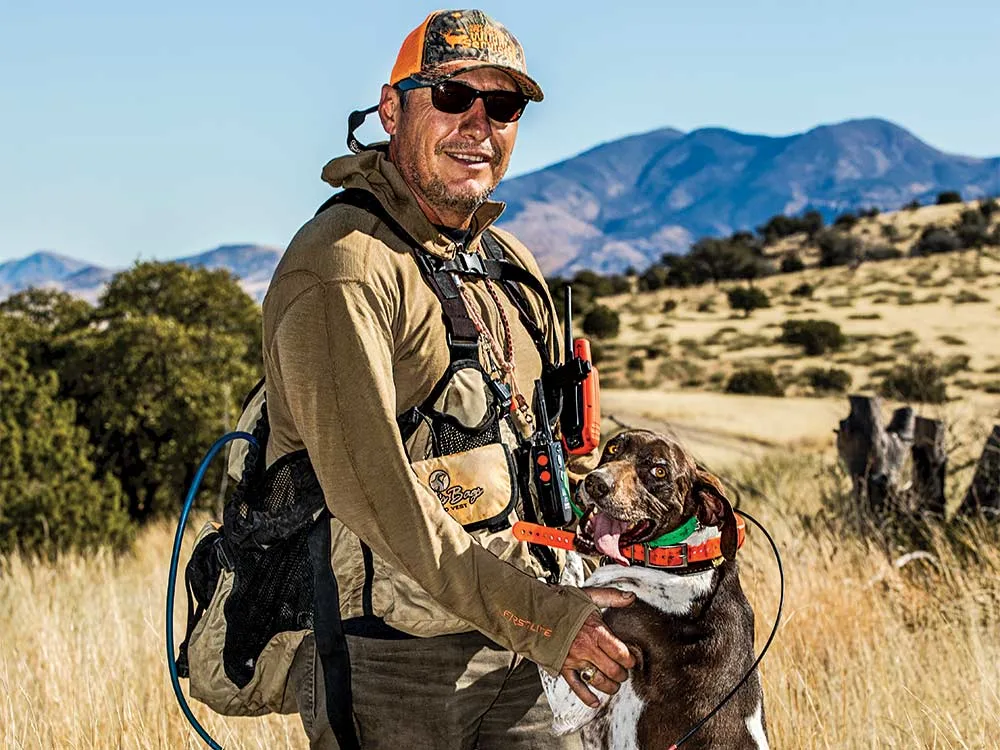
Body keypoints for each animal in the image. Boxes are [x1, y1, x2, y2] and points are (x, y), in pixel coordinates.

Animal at [544, 432, 768, 748]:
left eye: (659, 471)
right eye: (613, 448)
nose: (595, 483)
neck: (675, 561)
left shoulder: (569, 704)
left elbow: (568, 575)